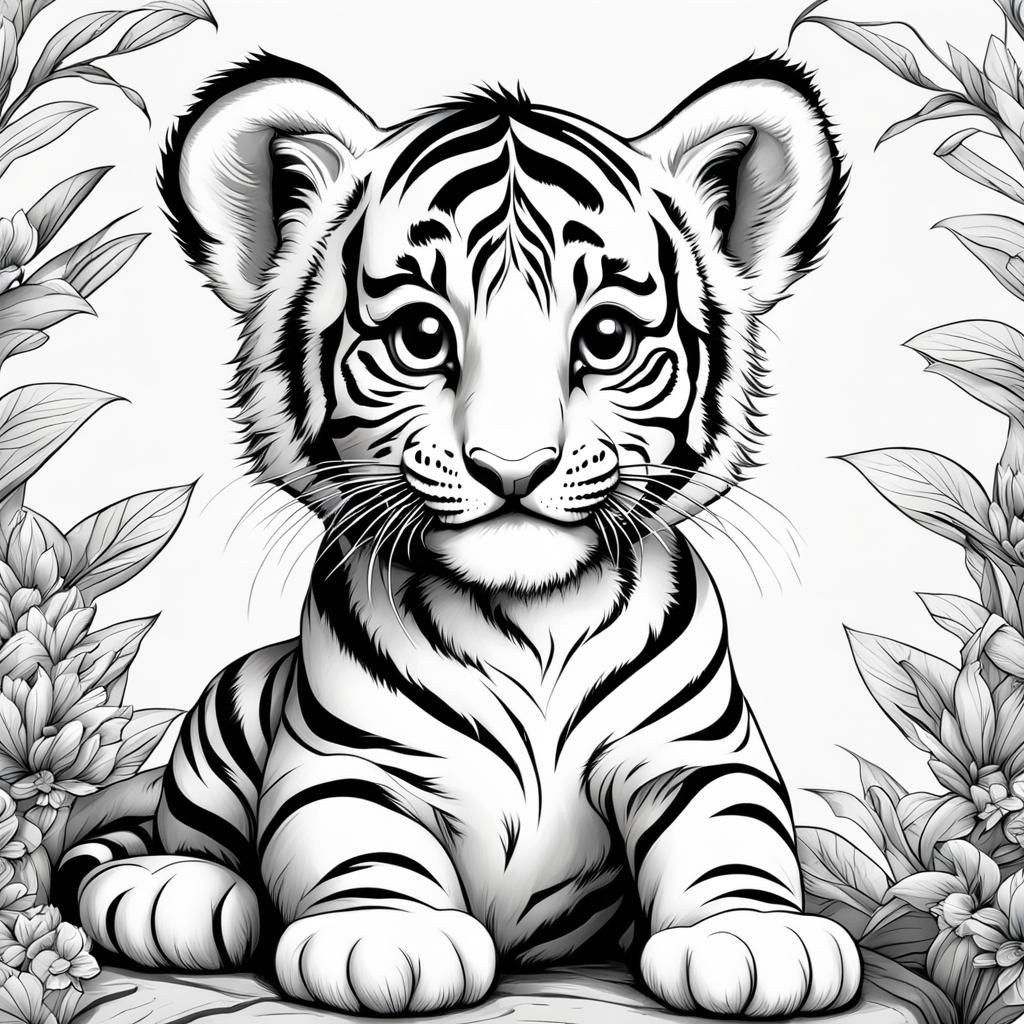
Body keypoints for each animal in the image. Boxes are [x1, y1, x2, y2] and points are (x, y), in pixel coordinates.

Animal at [53, 52, 861, 1018]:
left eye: (606, 335)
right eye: (421, 334)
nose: (513, 467)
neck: (530, 620)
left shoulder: (695, 752)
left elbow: (734, 831)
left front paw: (752, 937)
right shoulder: (344, 759)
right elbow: (357, 839)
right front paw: (390, 940)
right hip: (228, 709)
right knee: (189, 834)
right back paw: (171, 888)